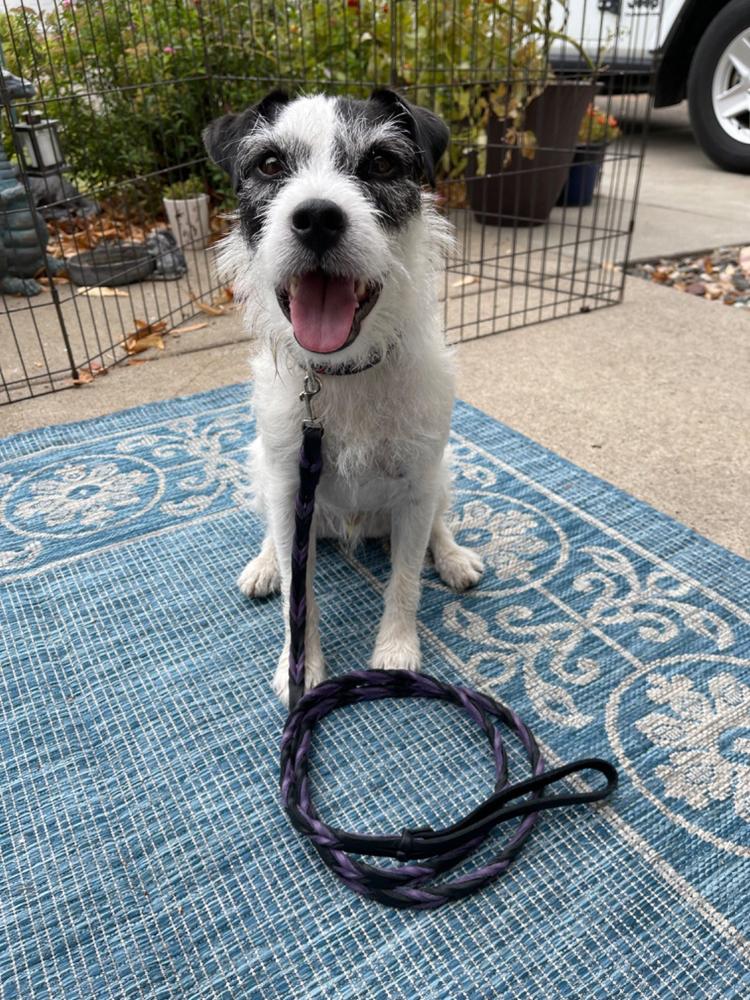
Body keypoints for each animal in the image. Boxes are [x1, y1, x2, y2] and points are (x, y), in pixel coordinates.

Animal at [203, 92, 484, 704]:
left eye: (380, 162)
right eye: (268, 164)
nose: (316, 217)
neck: (342, 374)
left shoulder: (417, 487)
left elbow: (405, 580)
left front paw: (397, 652)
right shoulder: (291, 492)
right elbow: (298, 595)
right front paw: (299, 667)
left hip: (442, 472)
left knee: (438, 523)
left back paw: (452, 558)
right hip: (262, 469)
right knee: (272, 534)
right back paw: (263, 565)